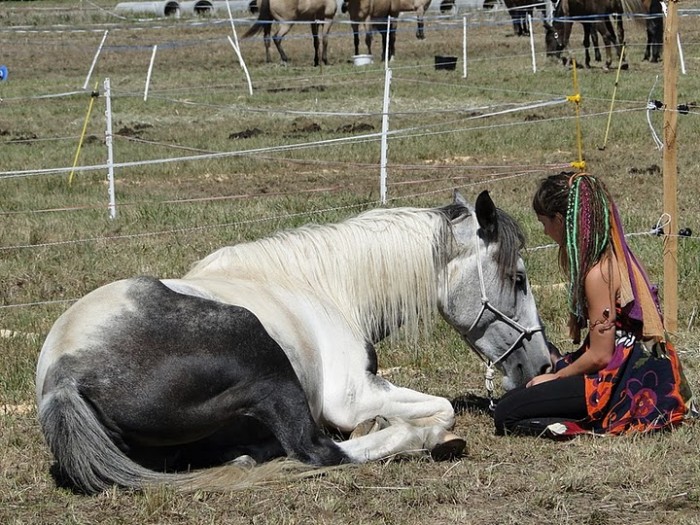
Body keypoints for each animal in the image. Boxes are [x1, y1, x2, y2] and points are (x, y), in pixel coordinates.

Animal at [35, 190, 552, 494]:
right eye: (518, 278)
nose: (543, 365)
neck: (327, 289)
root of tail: (64, 377)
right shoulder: (351, 397)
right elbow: (442, 408)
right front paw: (416, 427)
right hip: (265, 364)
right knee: (318, 451)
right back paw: (418, 438)